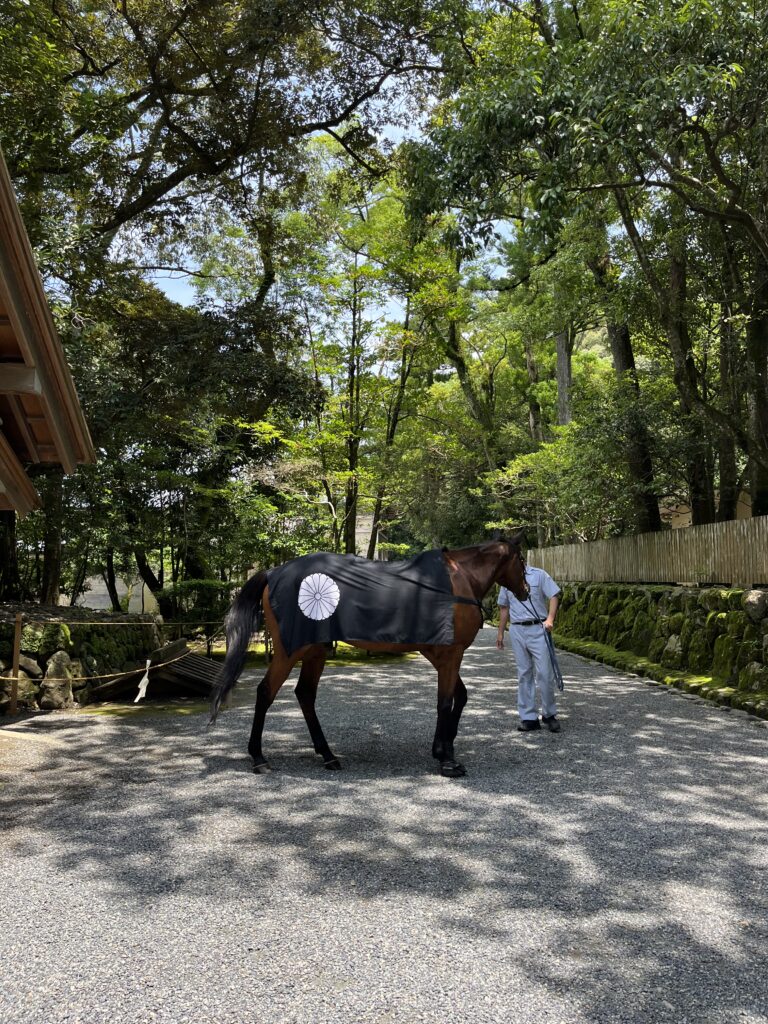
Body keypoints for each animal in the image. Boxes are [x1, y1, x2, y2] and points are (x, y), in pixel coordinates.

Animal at [209, 534, 527, 777]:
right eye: (522, 561)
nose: (525, 591)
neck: (457, 580)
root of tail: (273, 572)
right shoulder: (451, 653)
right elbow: (445, 702)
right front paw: (448, 760)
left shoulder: (440, 654)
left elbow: (459, 697)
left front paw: (443, 747)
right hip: (290, 651)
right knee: (266, 692)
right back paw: (259, 757)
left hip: (315, 650)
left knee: (305, 694)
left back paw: (328, 755)